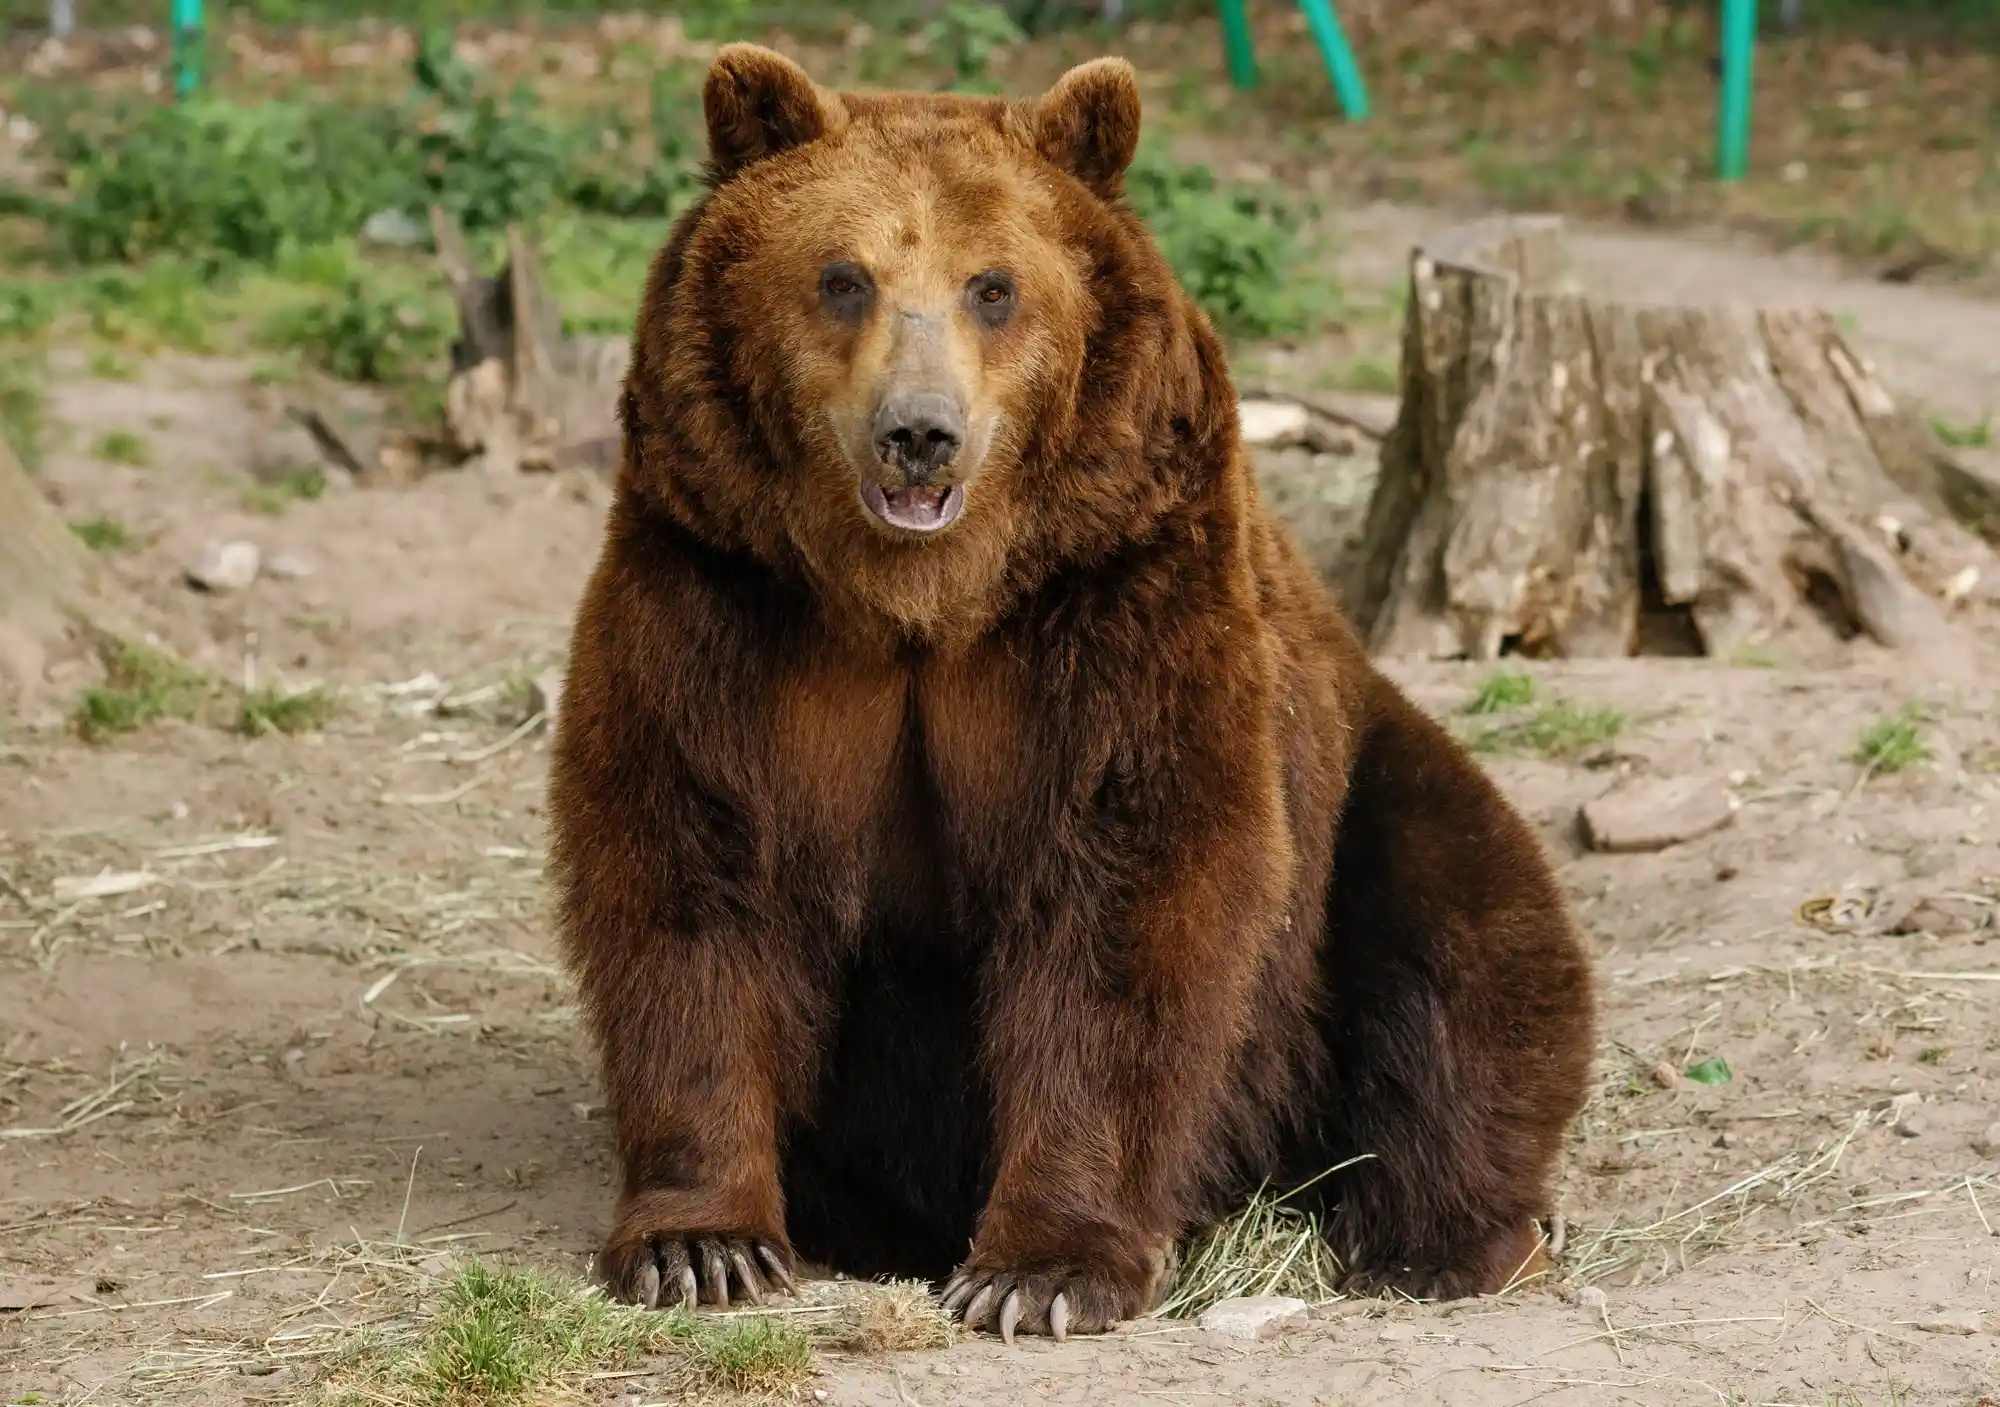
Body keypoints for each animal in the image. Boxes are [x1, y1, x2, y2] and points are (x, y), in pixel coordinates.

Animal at [546, 43, 1596, 1341]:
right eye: (842, 277)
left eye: (992, 287)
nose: (919, 433)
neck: (920, 604)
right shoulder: (721, 590)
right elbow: (692, 868)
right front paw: (703, 1245)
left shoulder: (1114, 590)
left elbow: (1126, 897)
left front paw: (1037, 1270)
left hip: (1373, 789)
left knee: (1466, 949)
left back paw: (1438, 1241)